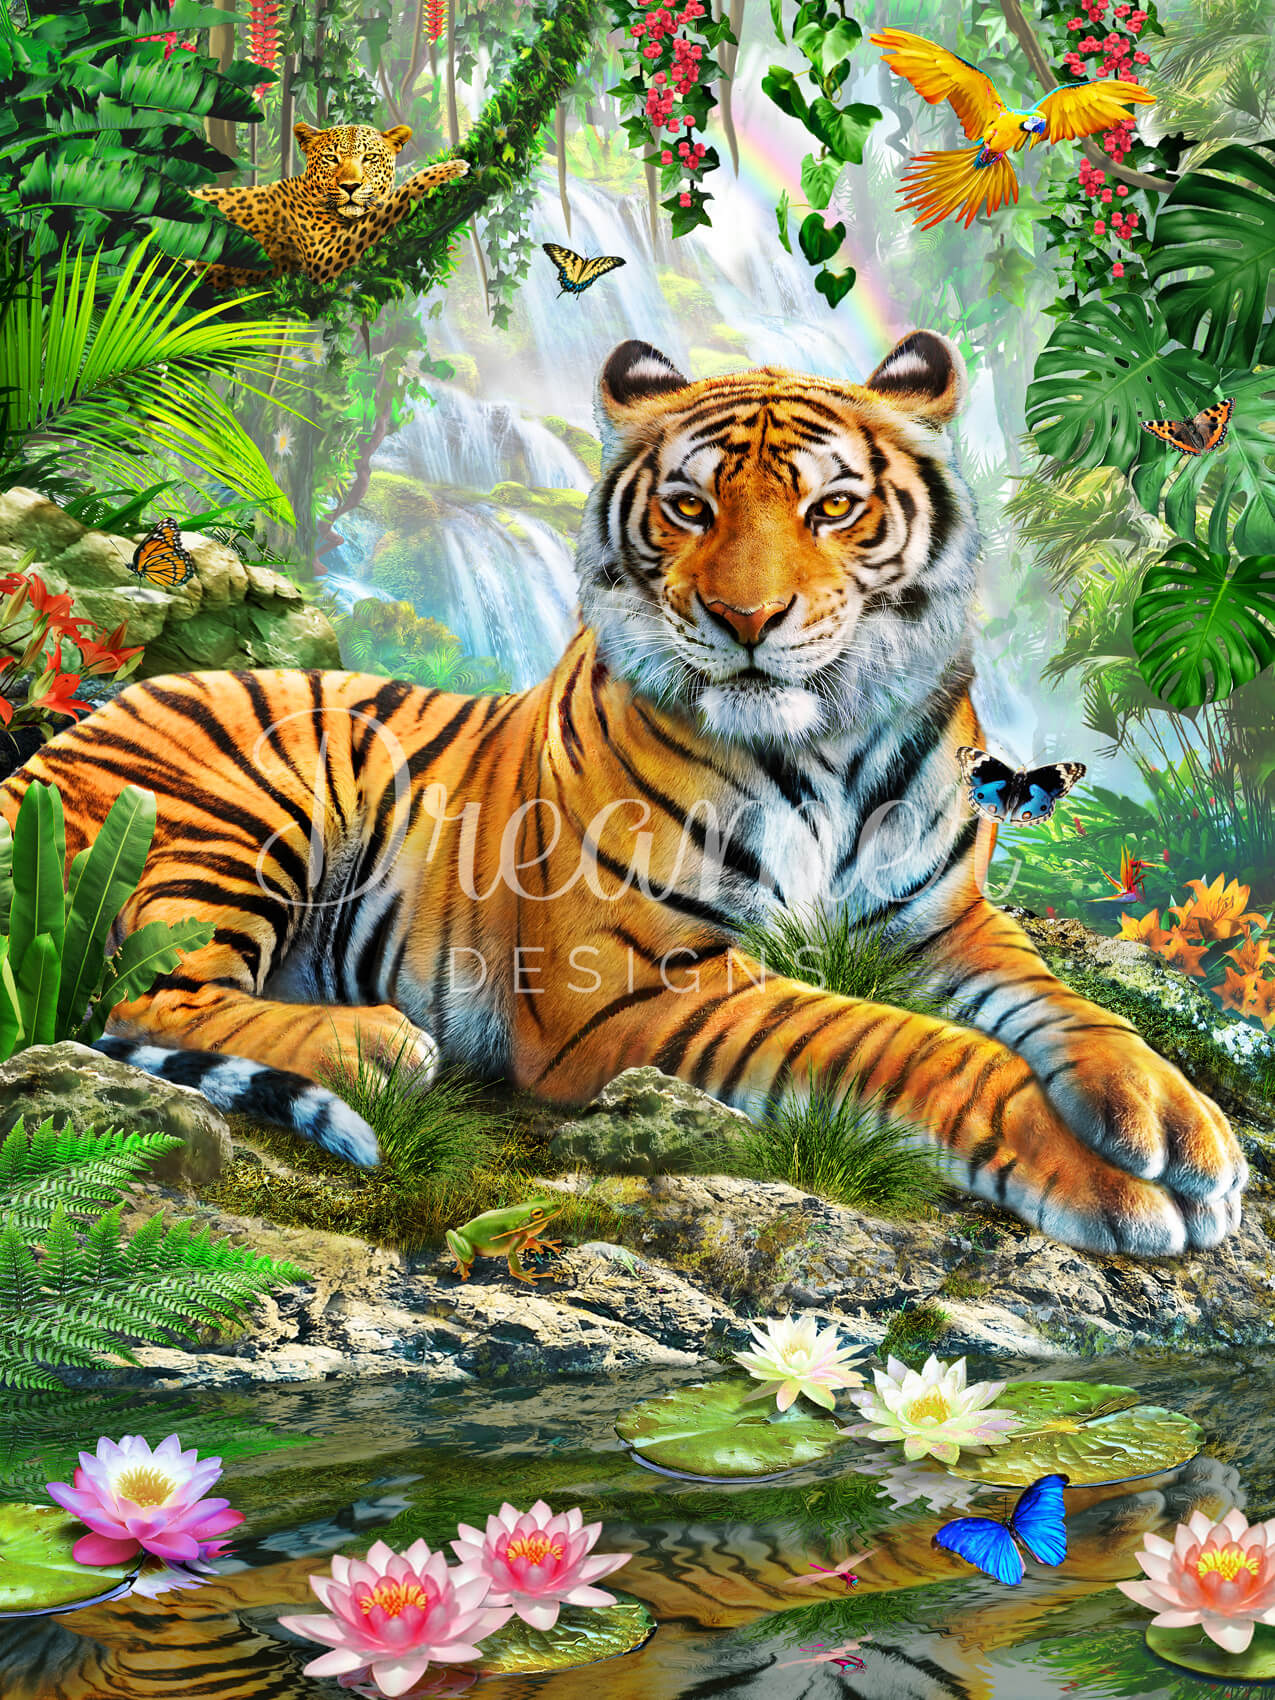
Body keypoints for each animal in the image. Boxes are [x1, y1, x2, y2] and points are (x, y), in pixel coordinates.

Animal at [0, 331, 1245, 1257]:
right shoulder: (632, 980)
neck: (831, 745)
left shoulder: (945, 924)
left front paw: (1174, 1117)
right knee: (141, 996)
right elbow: (899, 1042)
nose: (747, 619)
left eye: (833, 509)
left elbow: (1067, 1005)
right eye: (690, 508)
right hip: (256, 799)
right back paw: (373, 1042)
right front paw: (1107, 1180)